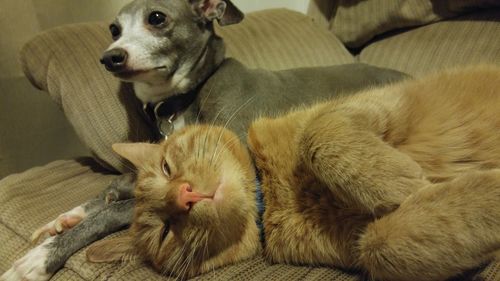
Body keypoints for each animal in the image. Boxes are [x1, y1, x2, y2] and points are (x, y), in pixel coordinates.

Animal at [2, 1, 410, 278]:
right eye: (114, 28)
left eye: (156, 18)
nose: (110, 58)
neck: (186, 97)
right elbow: (119, 186)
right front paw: (66, 217)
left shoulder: (241, 175)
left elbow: (120, 207)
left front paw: (43, 256)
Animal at [88, 64, 500, 278]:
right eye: (164, 231)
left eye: (167, 167)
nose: (185, 195)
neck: (272, 192)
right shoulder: (361, 247)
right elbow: (385, 244)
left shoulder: (372, 103)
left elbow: (318, 135)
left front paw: (400, 182)